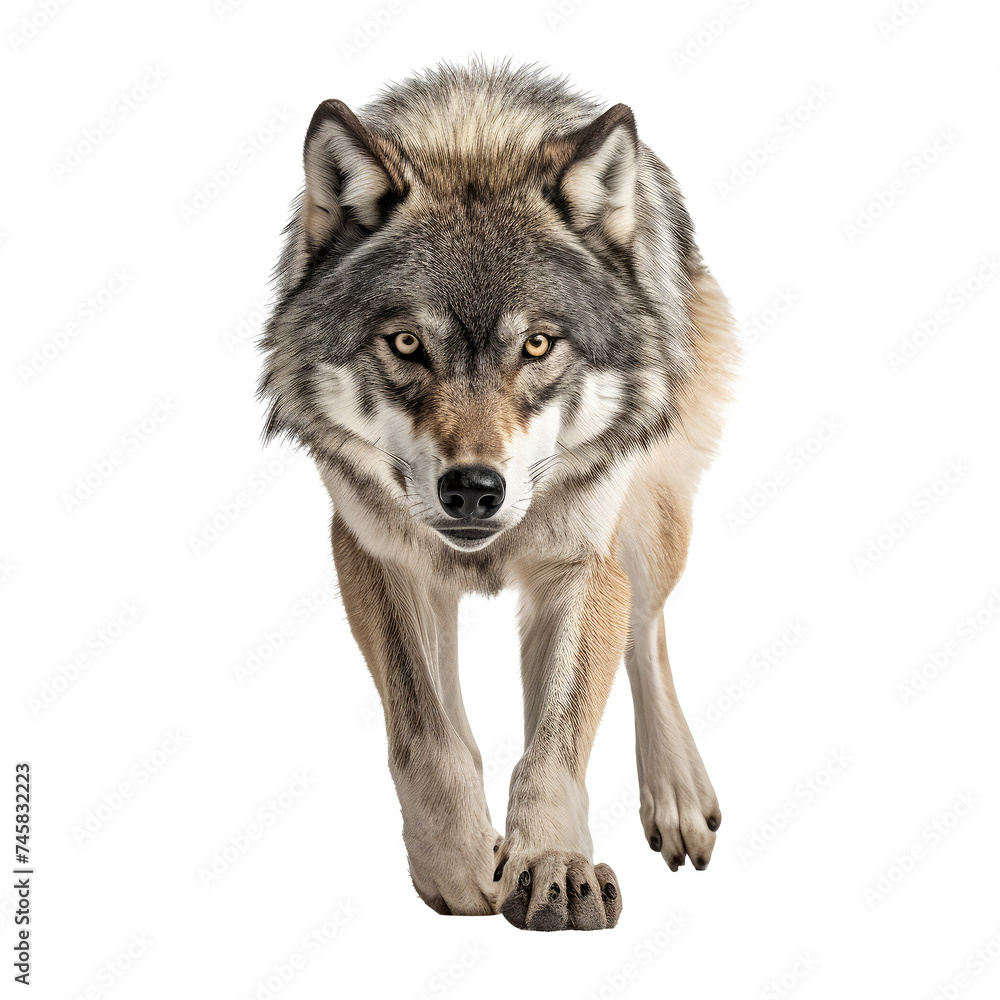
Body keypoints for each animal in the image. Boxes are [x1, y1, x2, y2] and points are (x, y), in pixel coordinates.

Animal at [259, 61, 738, 931]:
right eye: (407, 343)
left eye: (538, 344)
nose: (474, 489)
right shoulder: (375, 553)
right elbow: (427, 734)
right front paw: (457, 865)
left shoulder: (581, 563)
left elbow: (554, 744)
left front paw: (552, 865)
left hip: (650, 520)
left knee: (645, 632)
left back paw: (677, 794)